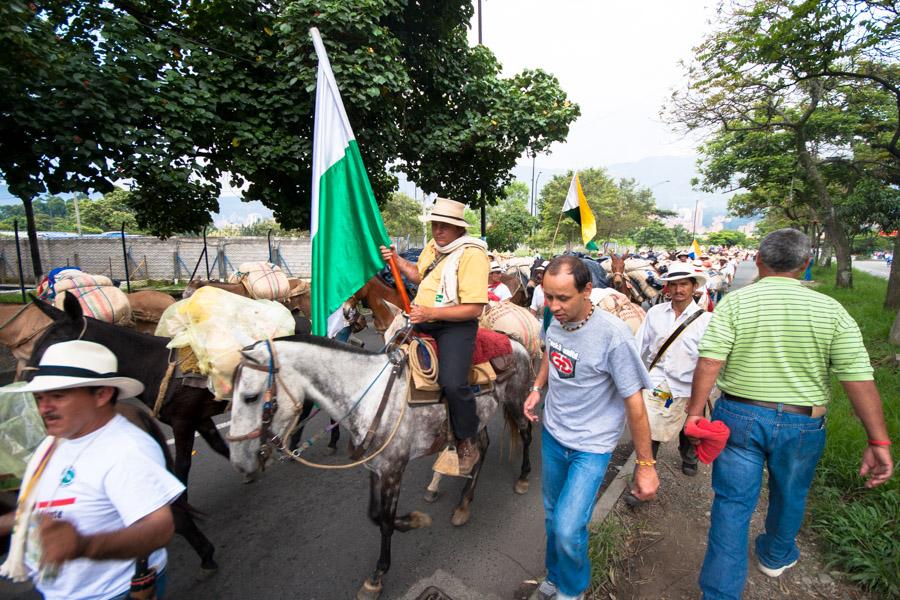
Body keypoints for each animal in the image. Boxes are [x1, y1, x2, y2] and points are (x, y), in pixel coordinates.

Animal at [229, 336, 536, 596]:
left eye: (250, 397)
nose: (239, 461)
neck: (370, 397)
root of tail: (516, 342)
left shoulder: (393, 470)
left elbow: (386, 522)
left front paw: (378, 575)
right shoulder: (376, 468)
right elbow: (376, 515)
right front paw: (413, 521)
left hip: (516, 401)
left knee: (526, 432)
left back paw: (523, 478)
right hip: (477, 420)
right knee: (481, 447)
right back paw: (463, 504)